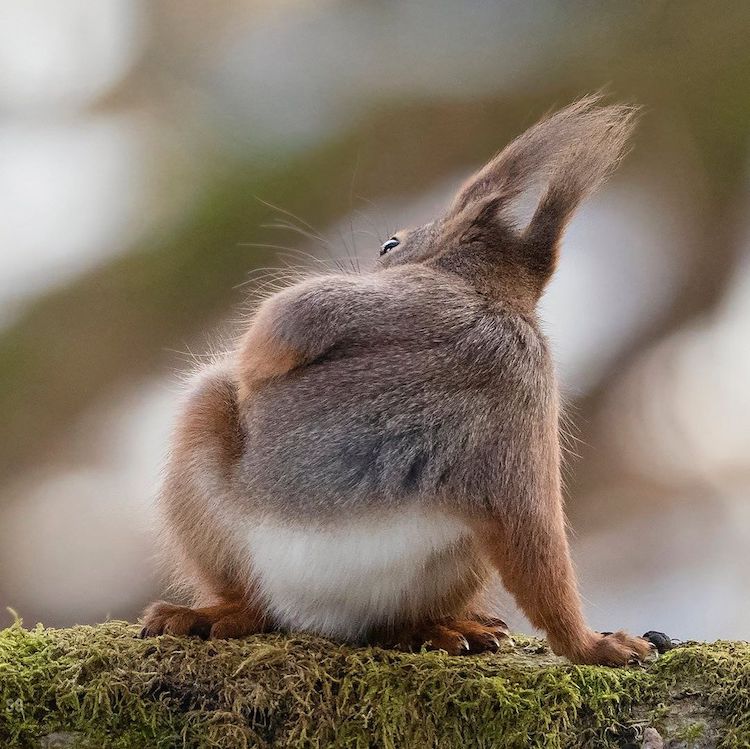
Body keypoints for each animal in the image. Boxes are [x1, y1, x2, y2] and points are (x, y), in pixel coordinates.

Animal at [141, 95, 654, 666]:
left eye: (391, 244)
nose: (378, 252)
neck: (491, 293)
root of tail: (326, 613)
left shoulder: (366, 297)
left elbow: (277, 332)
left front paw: (253, 376)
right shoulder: (531, 398)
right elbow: (535, 540)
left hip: (203, 442)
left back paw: (221, 613)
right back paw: (440, 630)